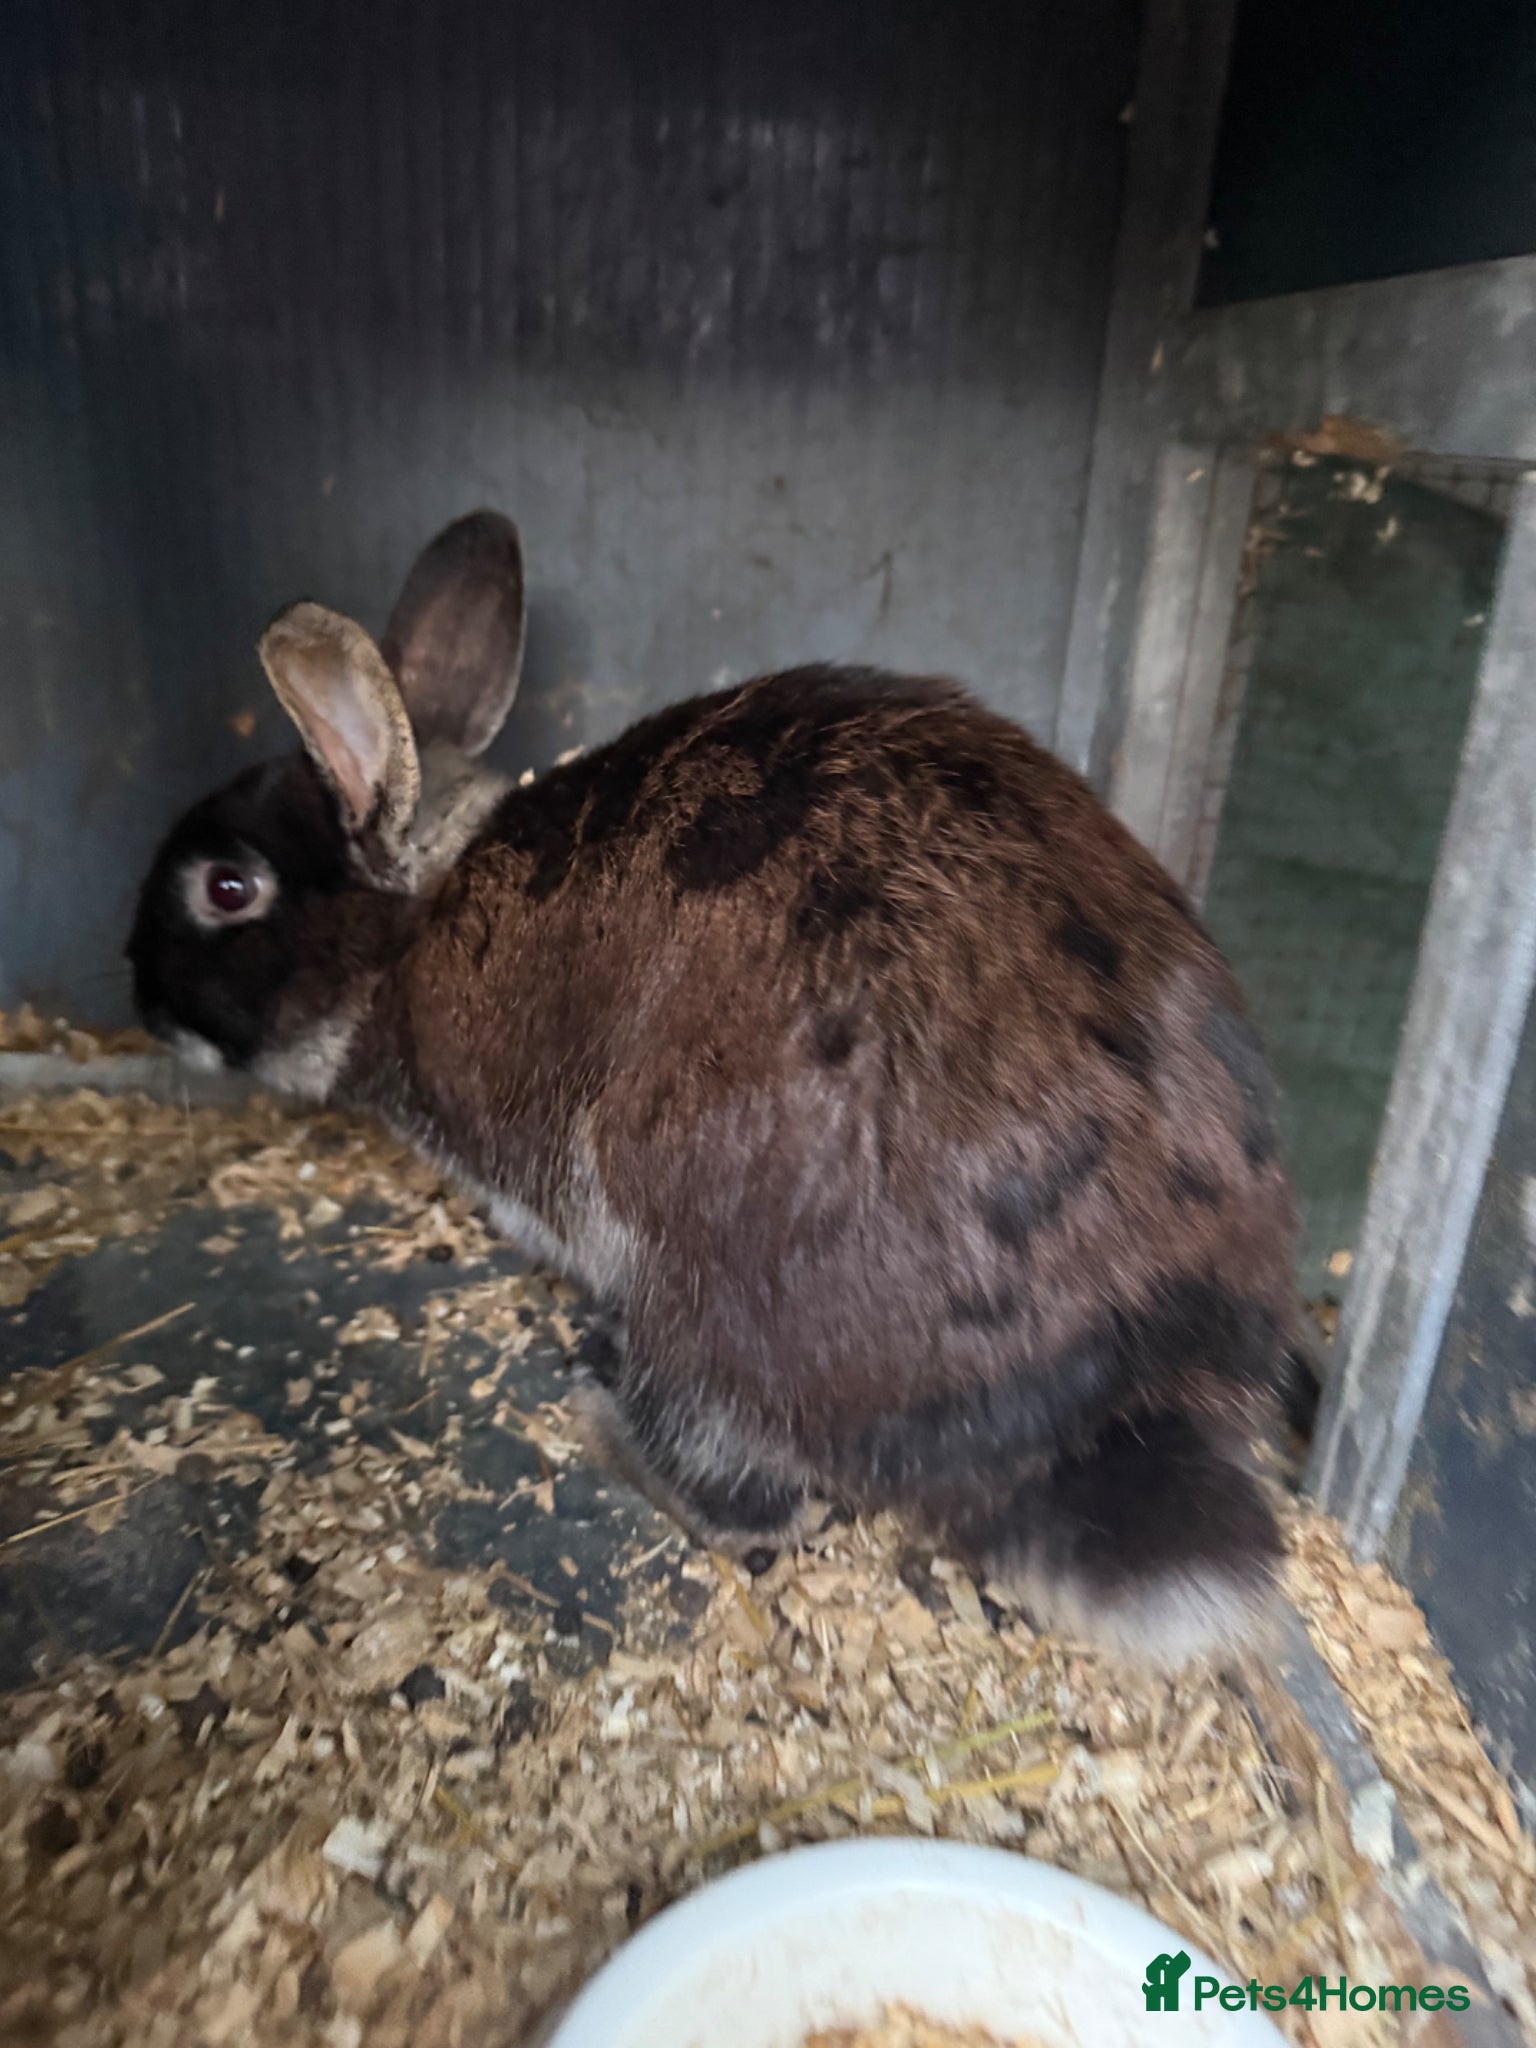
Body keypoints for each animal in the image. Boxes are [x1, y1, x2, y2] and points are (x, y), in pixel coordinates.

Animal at [129, 509, 1299, 1667]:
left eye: (227, 889)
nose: (137, 992)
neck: (419, 914)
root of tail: (1095, 1414)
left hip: (697, 1284)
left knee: (753, 1496)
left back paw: (605, 1415)